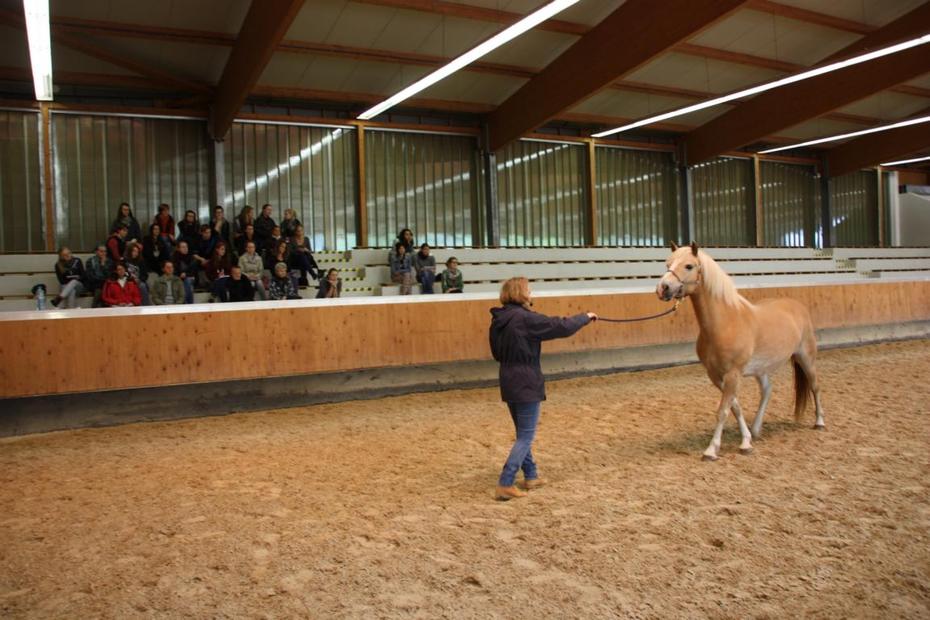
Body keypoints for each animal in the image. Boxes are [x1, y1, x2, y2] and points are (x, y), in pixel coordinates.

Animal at [656, 242, 824, 460]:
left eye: (689, 266)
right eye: (667, 264)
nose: (663, 288)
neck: (726, 322)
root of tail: (797, 306)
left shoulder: (733, 374)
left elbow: (723, 411)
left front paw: (712, 449)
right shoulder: (716, 375)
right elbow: (735, 407)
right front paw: (746, 441)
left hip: (806, 358)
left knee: (815, 386)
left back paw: (819, 422)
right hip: (761, 369)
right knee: (767, 391)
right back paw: (756, 429)